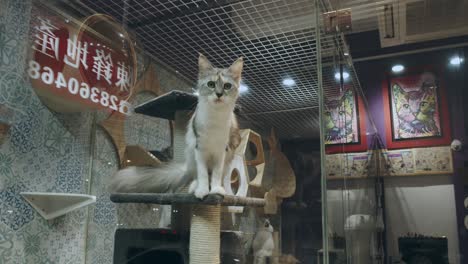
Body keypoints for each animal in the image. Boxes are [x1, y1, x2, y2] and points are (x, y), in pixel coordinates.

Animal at [109, 53, 241, 198]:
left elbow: (216, 175)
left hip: (227, 159)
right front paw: (202, 191)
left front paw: (216, 190)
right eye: (211, 84)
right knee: (196, 176)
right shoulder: (200, 149)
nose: (219, 94)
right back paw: (194, 188)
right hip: (191, 153)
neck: (215, 118)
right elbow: (203, 175)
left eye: (227, 86)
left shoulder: (221, 151)